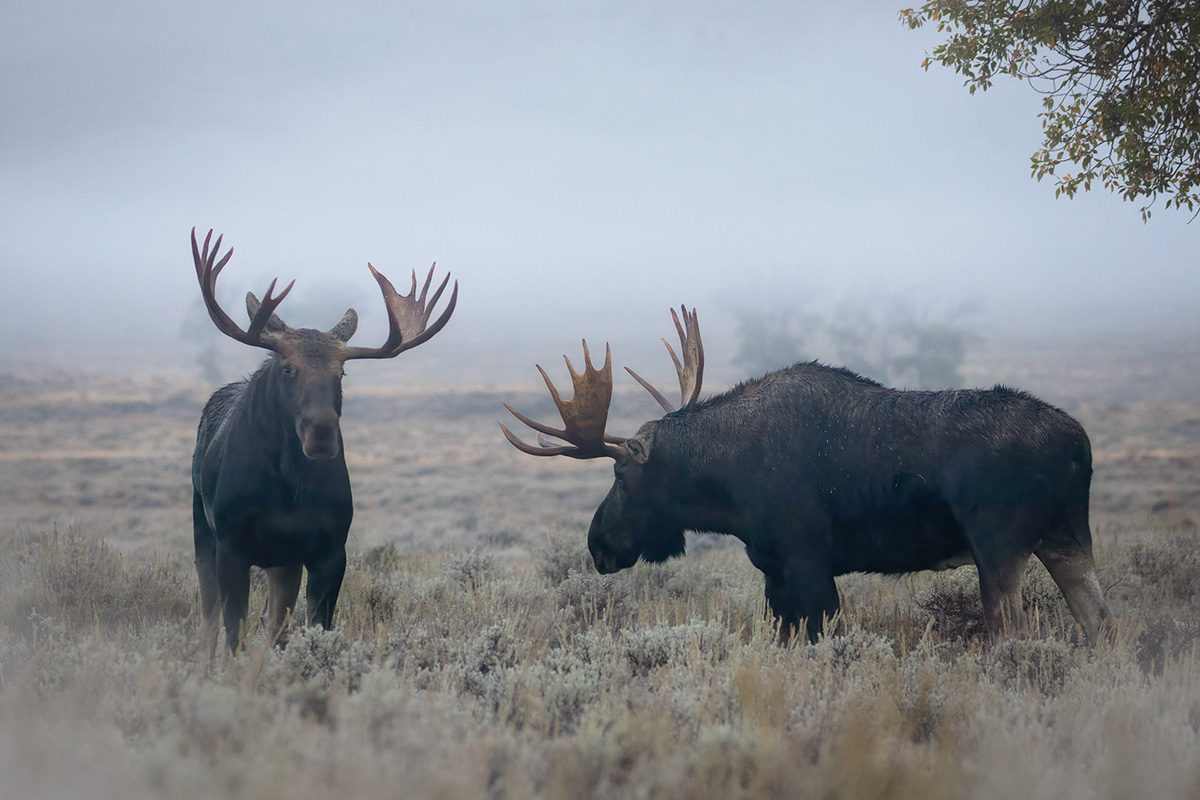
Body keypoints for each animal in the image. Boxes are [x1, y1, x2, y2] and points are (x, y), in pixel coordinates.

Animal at [190, 228, 457, 653]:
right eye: (287, 368)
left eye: (341, 373)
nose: (322, 433)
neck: (286, 489)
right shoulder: (231, 545)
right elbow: (233, 634)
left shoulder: (329, 550)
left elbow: (313, 628)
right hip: (203, 529)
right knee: (208, 621)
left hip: (283, 561)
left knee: (273, 622)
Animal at [501, 307, 1111, 645]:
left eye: (622, 475)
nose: (597, 544)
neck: (724, 487)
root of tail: (1079, 446)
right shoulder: (774, 573)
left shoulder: (809, 564)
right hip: (1067, 538)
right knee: (1102, 621)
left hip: (999, 546)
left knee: (1015, 633)